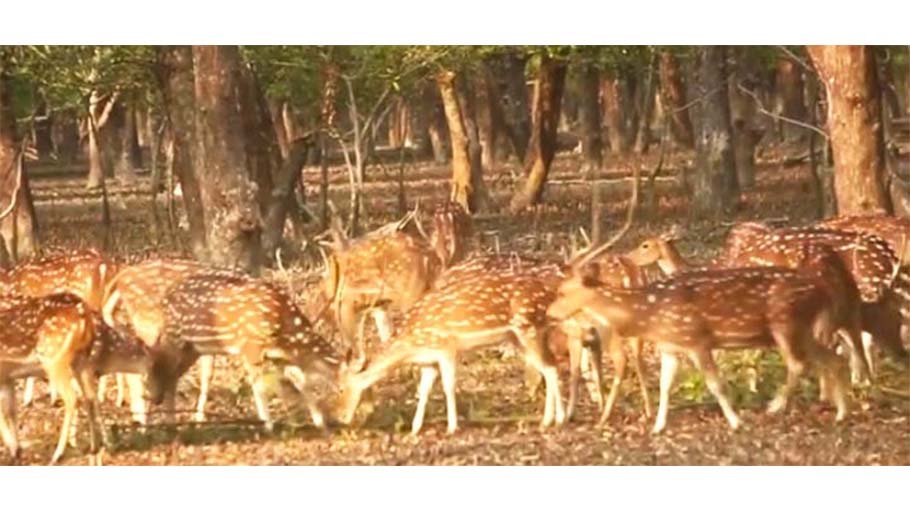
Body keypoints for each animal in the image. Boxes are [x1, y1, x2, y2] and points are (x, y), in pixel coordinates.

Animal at [152, 272, 342, 431]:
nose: (344, 417)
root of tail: (164, 298)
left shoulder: (279, 357)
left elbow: (300, 382)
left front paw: (319, 422)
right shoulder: (251, 347)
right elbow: (259, 387)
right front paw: (268, 425)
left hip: (193, 348)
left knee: (175, 376)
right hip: (175, 339)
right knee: (167, 374)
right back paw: (169, 422)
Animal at [335, 268, 566, 435]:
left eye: (341, 388)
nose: (341, 417)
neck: (412, 344)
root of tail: (550, 295)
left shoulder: (445, 347)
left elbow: (448, 386)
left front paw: (452, 427)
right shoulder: (428, 360)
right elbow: (423, 390)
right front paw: (415, 428)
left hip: (529, 328)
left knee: (551, 367)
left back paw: (557, 419)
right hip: (517, 338)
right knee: (548, 367)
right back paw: (549, 419)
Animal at [547, 253, 851, 434]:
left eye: (562, 291)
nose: (549, 313)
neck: (649, 314)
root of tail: (821, 290)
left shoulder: (697, 340)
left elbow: (716, 385)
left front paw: (736, 422)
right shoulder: (670, 348)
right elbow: (665, 386)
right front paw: (657, 427)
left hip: (785, 322)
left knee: (799, 363)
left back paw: (775, 407)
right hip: (803, 329)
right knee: (833, 359)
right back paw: (841, 414)